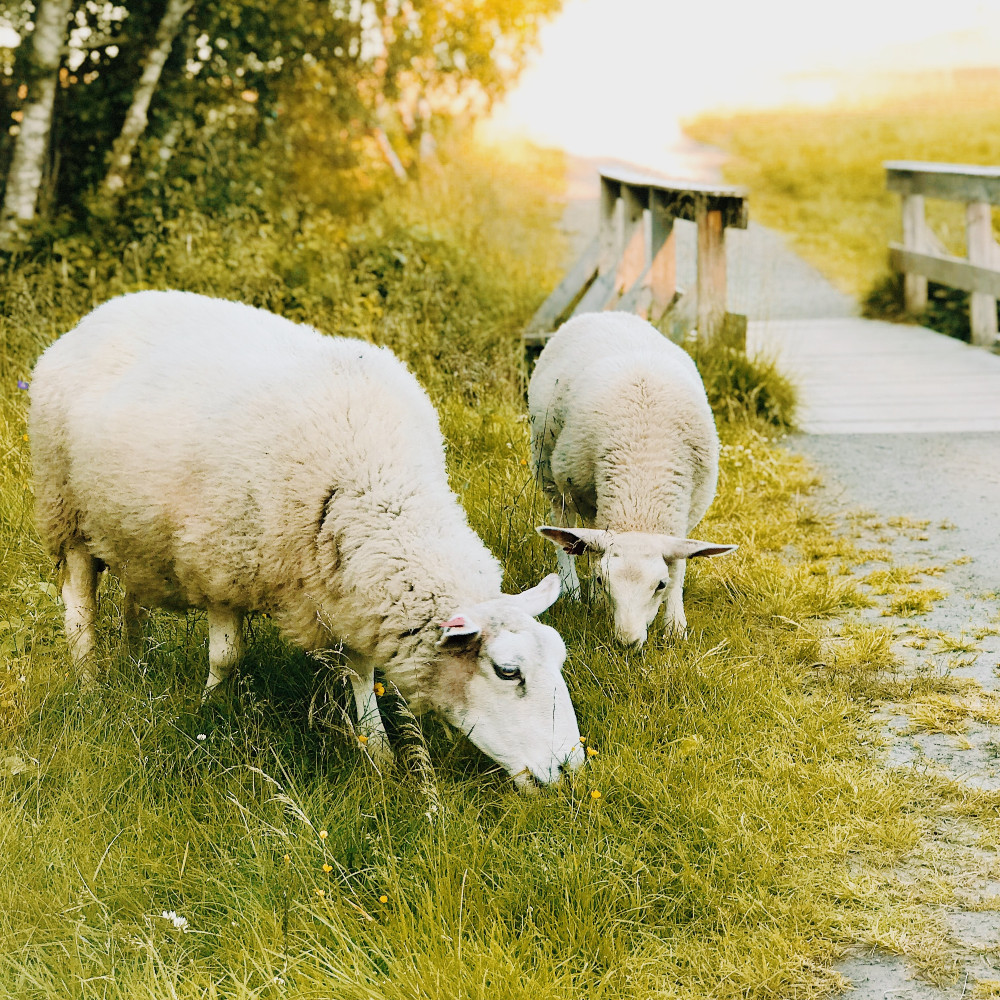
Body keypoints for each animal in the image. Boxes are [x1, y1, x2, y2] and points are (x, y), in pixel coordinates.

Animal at [31, 290, 584, 788]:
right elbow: (226, 657)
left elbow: (361, 671)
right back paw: (90, 679)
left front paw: (377, 750)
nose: (571, 769)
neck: (375, 480)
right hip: (66, 510)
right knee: (79, 605)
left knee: (132, 598)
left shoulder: (350, 588)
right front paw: (209, 711)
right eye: (508, 672)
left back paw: (136, 660)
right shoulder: (223, 563)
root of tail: (101, 312)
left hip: (130, 532)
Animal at [532, 310, 736, 648]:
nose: (626, 642)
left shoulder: (686, 512)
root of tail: (605, 313)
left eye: (660, 584)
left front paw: (675, 625)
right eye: (604, 580)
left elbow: (680, 563)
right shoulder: (583, 493)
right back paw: (571, 588)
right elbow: (589, 548)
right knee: (563, 522)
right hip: (547, 464)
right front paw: (595, 596)